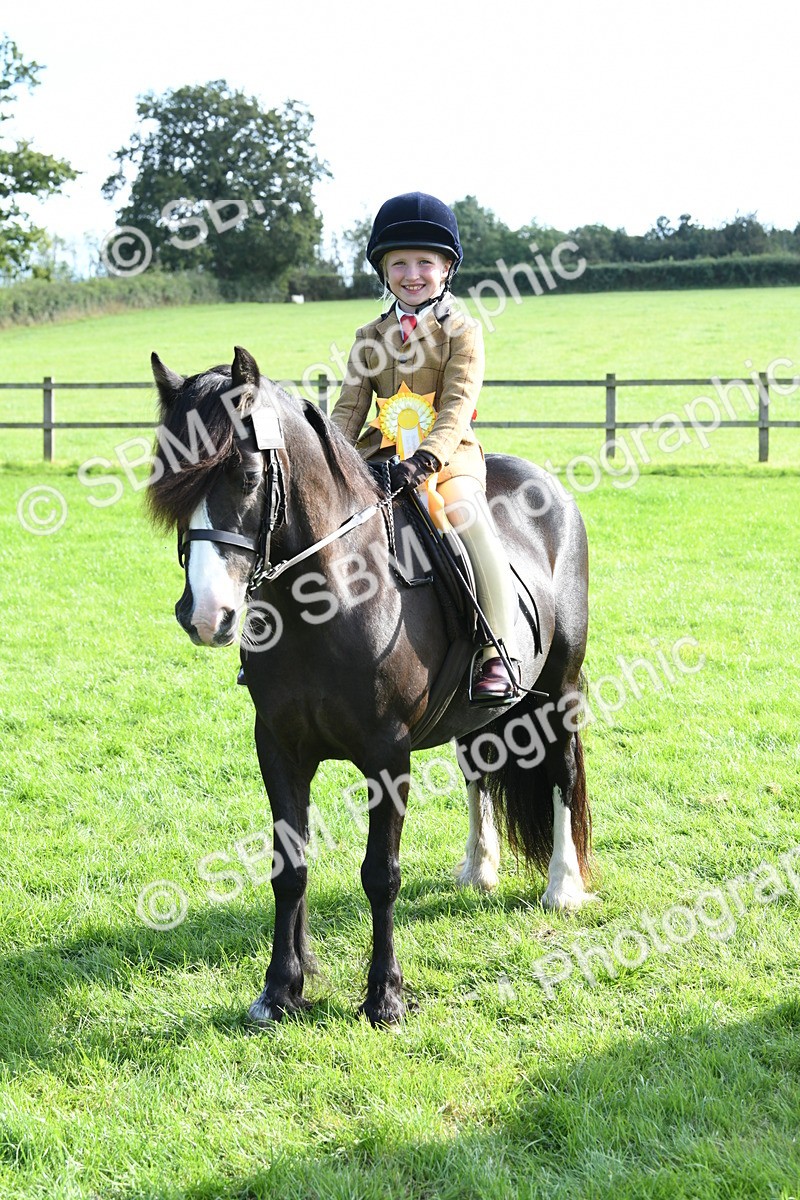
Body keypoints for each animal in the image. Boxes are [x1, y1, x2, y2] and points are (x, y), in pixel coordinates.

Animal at [146, 345, 596, 1026]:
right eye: (170, 481)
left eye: (246, 477)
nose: (204, 616)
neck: (329, 595)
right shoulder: (278, 747)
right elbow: (288, 869)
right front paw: (280, 991)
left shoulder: (388, 754)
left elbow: (380, 874)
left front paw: (385, 995)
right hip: (477, 713)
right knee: (478, 768)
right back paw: (478, 869)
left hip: (562, 687)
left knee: (564, 768)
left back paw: (563, 886)